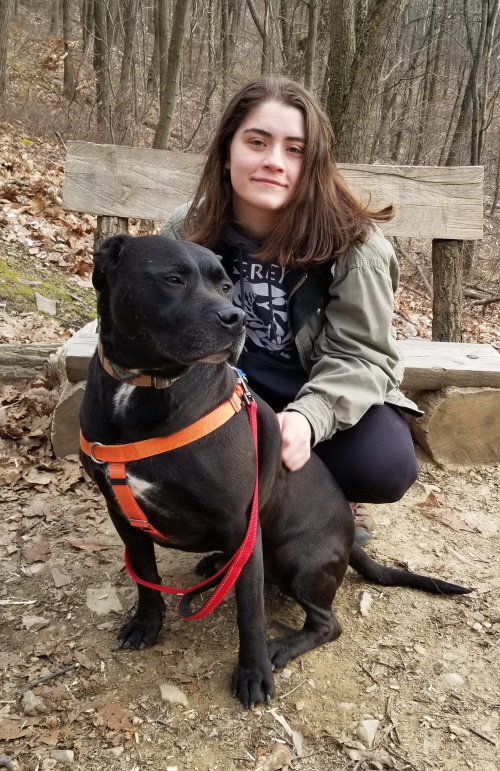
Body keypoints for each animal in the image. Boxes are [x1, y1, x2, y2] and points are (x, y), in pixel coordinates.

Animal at [80, 237, 470, 712]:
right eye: (173, 278)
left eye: (225, 285)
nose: (235, 318)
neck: (144, 387)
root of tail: (348, 538)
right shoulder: (122, 514)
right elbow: (145, 576)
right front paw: (147, 623)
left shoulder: (241, 524)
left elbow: (250, 613)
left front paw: (254, 672)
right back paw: (215, 565)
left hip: (298, 560)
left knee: (327, 624)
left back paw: (280, 646)